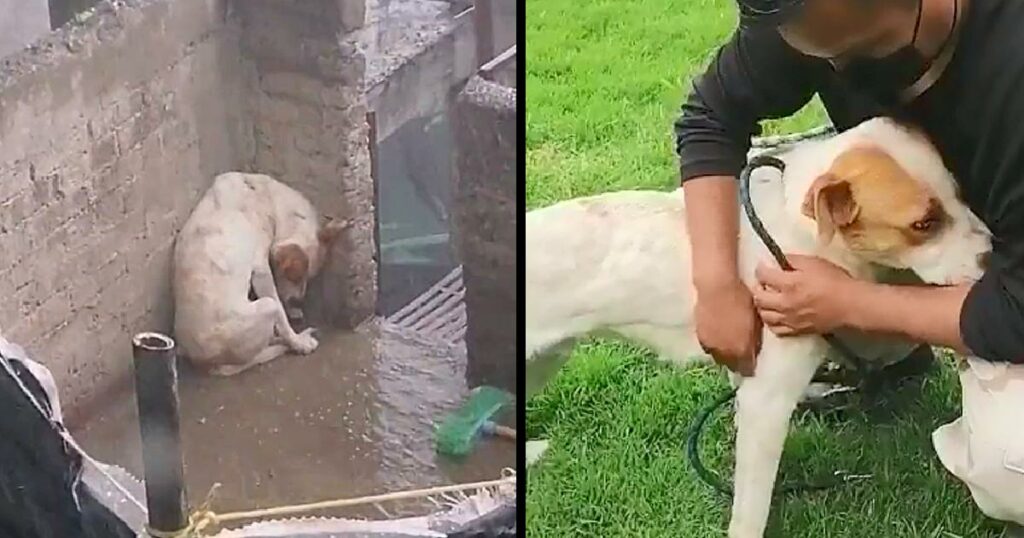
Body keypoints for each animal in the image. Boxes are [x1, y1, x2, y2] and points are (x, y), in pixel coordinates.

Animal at [174, 174, 346, 375]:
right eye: (293, 276)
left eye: (307, 278)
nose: (298, 301)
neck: (269, 199)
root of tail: (207, 364)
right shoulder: (261, 270)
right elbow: (281, 315)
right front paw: (297, 341)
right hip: (266, 306)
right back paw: (293, 341)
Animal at [524, 118, 987, 536]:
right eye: (923, 224)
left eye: (959, 192)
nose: (992, 256)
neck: (801, 229)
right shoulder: (766, 401)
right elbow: (751, 508)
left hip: (545, 359)